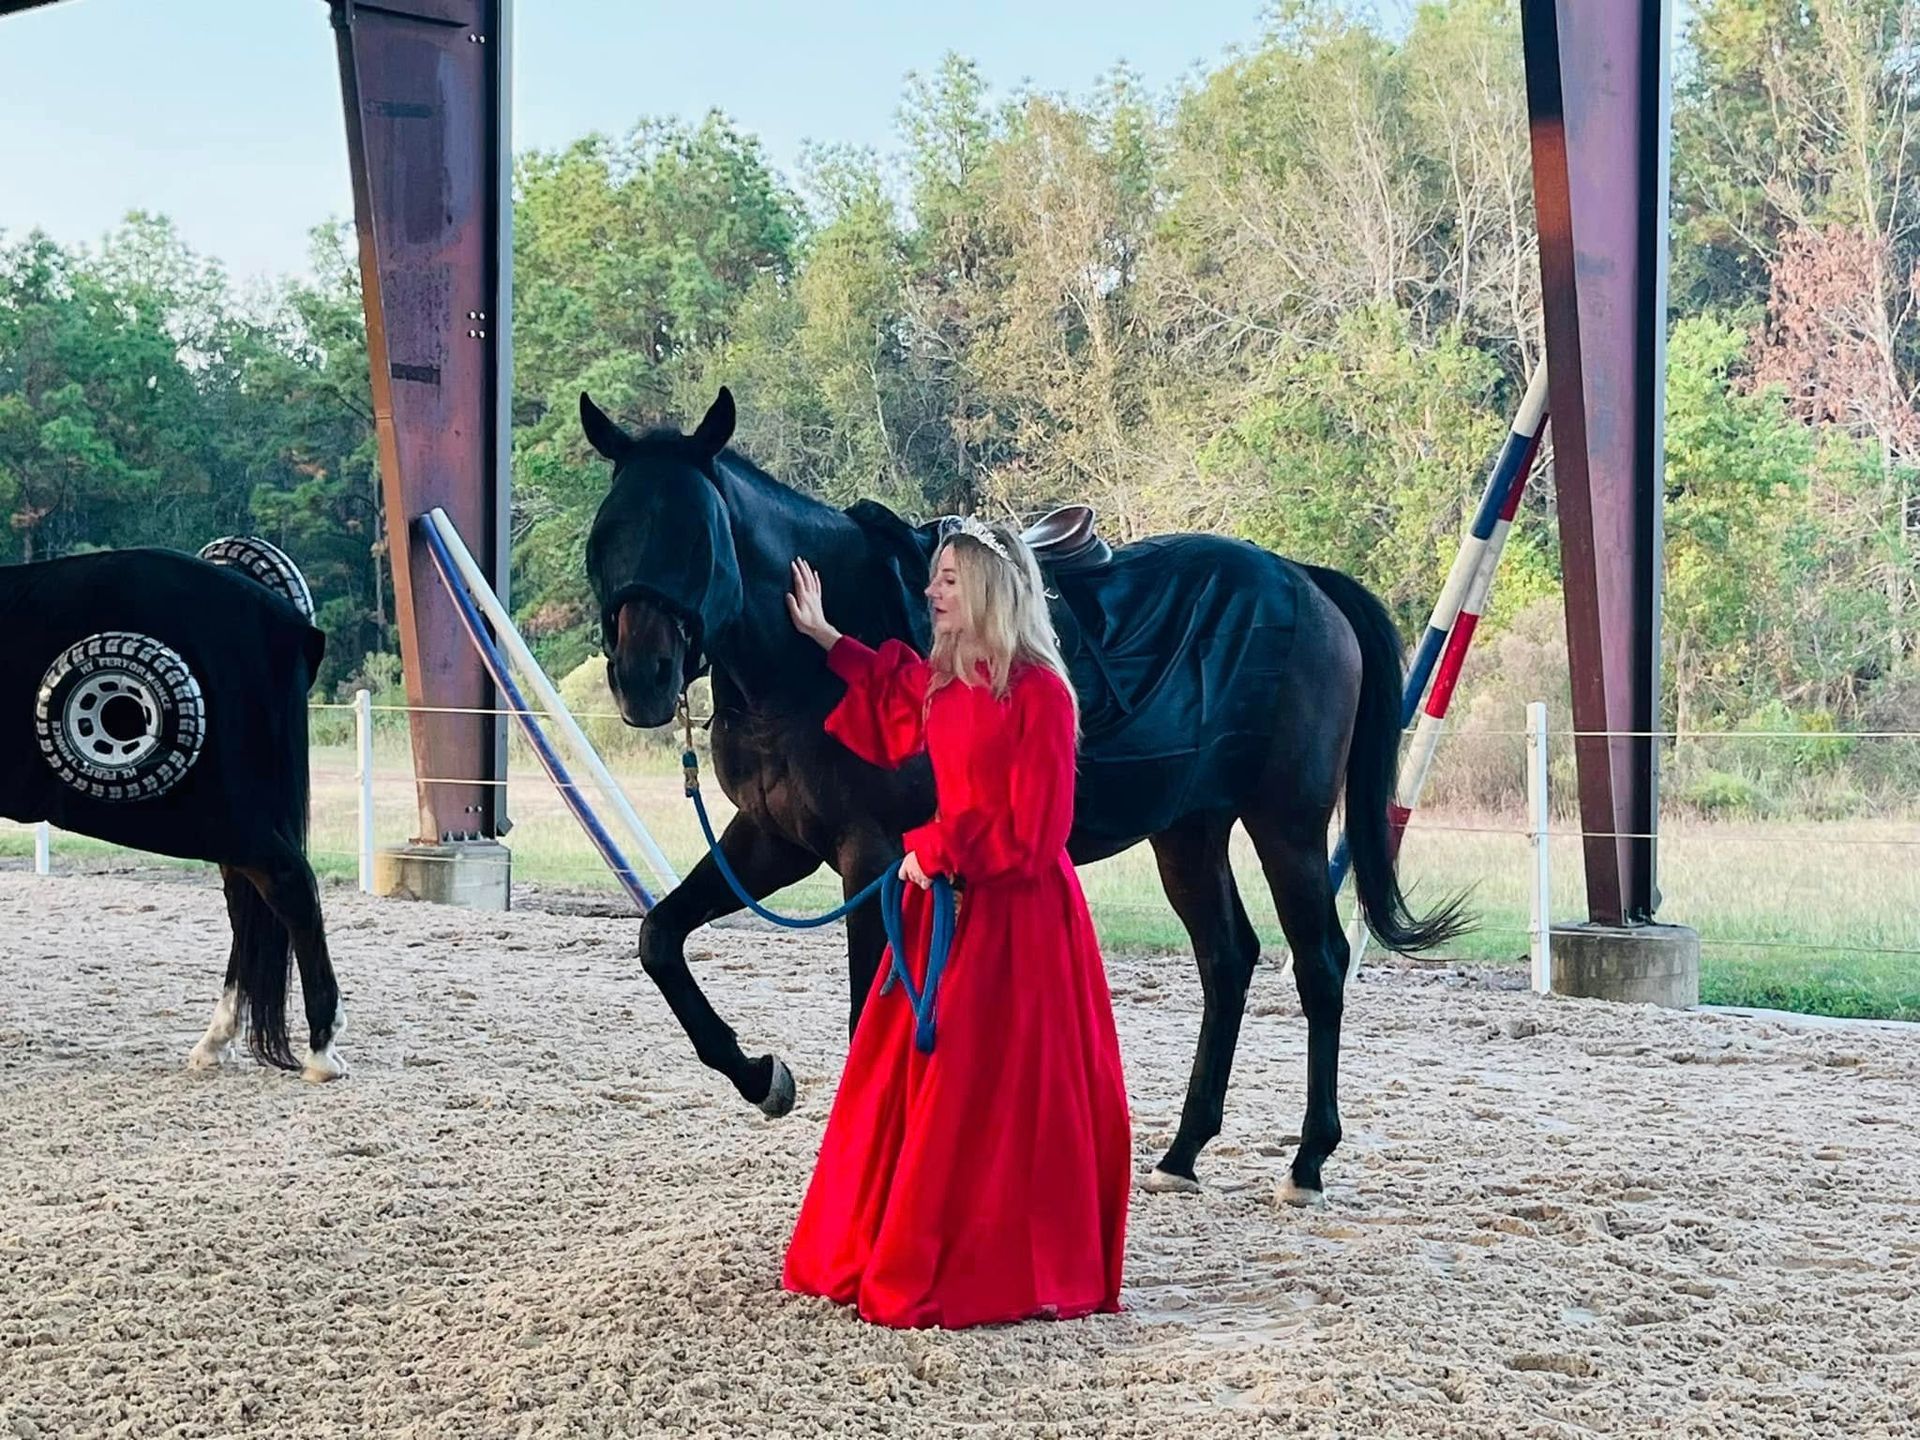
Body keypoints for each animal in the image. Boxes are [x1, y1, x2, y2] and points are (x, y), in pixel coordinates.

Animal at [1, 541, 346, 1082]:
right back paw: (216, 1040)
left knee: (289, 888)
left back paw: (321, 1050)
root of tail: (284, 619)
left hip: (230, 821)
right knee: (249, 910)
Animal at [581, 387, 1466, 1204]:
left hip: (1287, 825)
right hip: (1188, 830)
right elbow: (659, 938)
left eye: (696, 538)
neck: (807, 665)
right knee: (1227, 959)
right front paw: (761, 1075)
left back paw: (1308, 1161)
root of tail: (1303, 581)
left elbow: (869, 1007)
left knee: (1319, 964)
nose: (642, 678)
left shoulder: (868, 855)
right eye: (606, 534)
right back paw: (1182, 1152)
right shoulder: (773, 841)